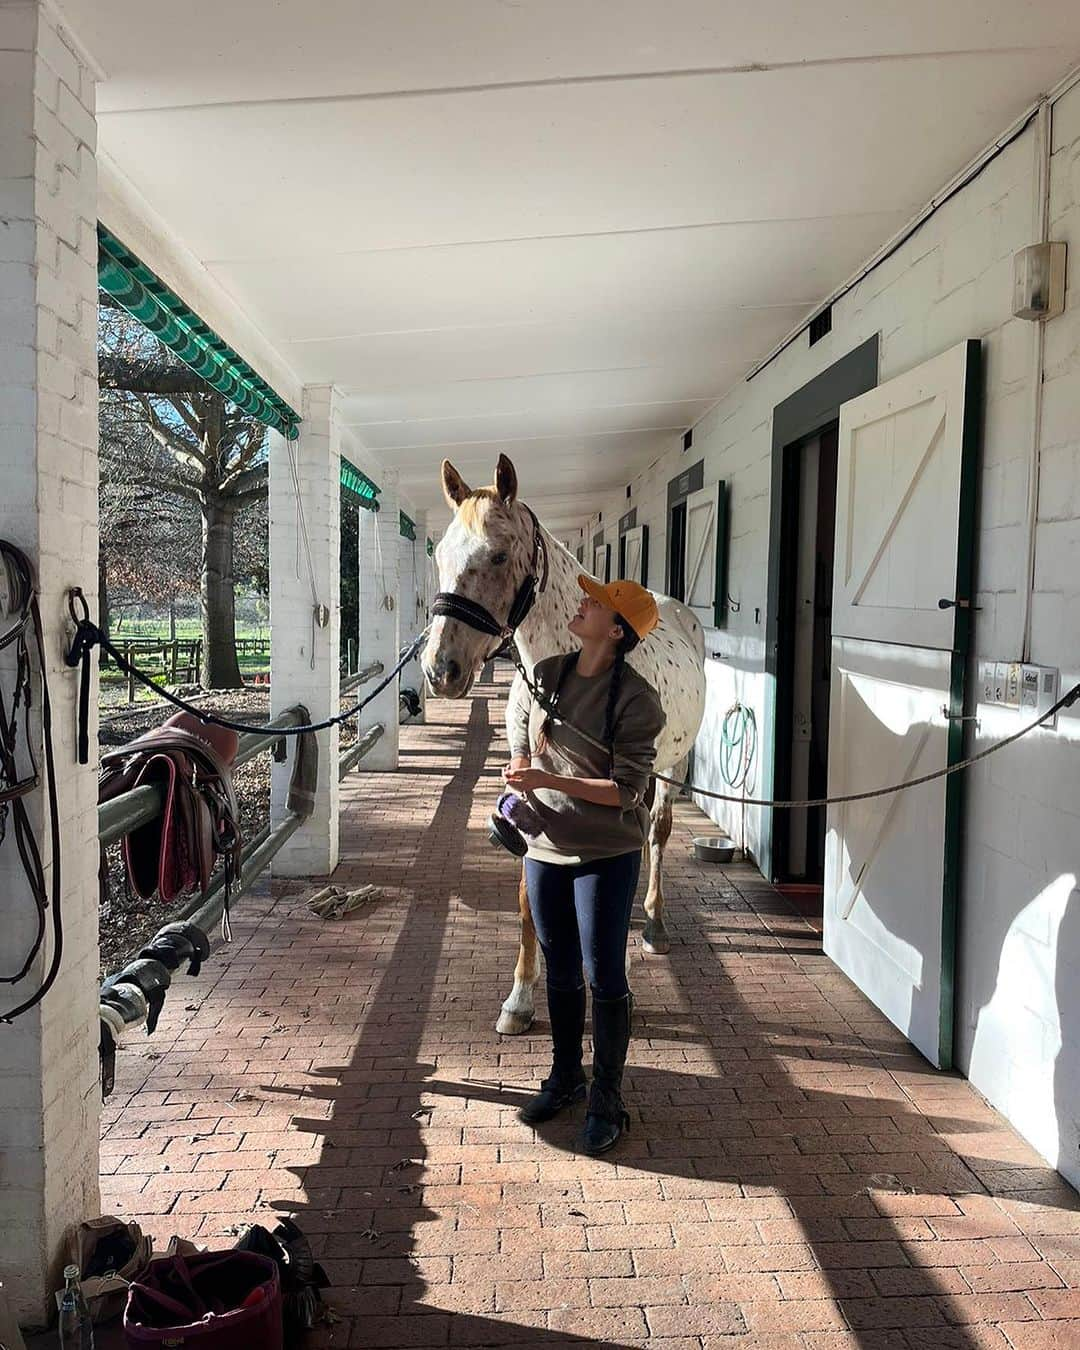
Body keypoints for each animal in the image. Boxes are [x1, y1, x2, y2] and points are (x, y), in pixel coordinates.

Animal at [421, 453, 707, 1031]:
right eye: (440, 555)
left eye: (498, 554)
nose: (441, 670)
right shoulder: (529, 777)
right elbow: (531, 888)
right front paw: (520, 996)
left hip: (674, 765)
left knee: (657, 834)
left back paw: (654, 922)